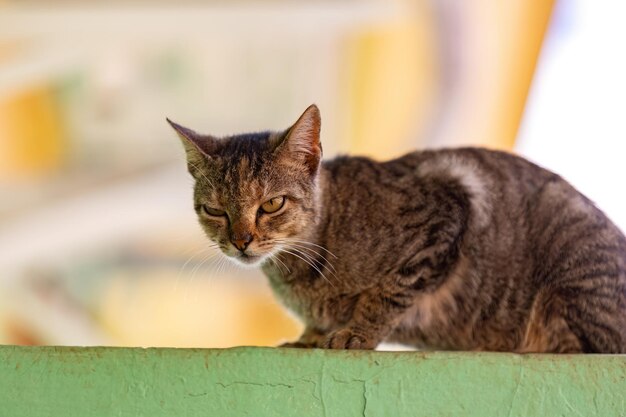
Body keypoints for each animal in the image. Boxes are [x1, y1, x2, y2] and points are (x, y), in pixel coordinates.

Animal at [167, 104, 624, 352]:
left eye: (272, 205)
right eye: (215, 210)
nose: (241, 241)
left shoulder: (446, 208)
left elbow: (388, 293)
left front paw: (356, 332)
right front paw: (311, 335)